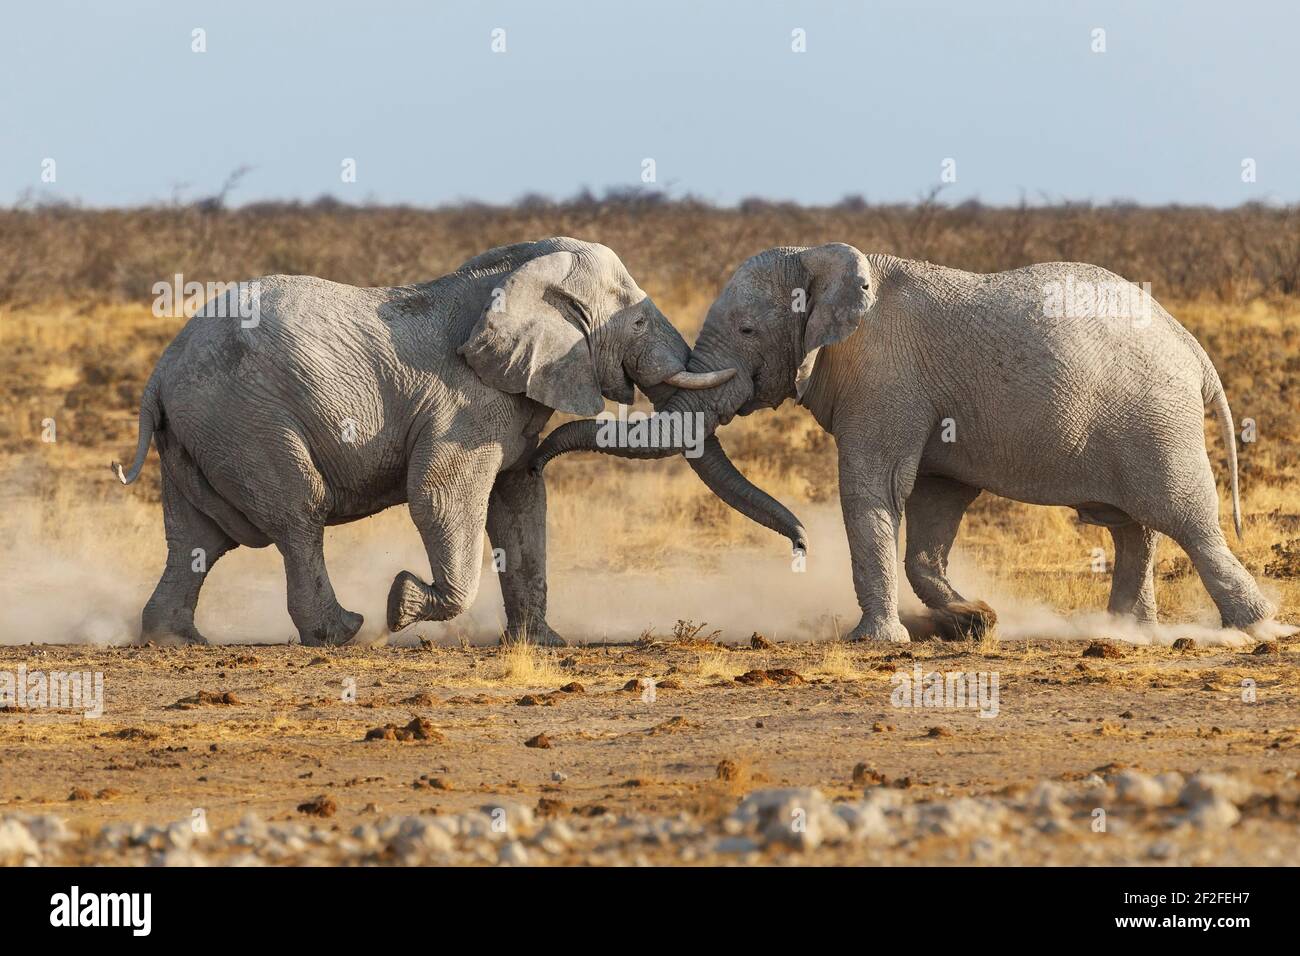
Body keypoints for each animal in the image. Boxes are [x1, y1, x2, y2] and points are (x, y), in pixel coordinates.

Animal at [111, 235, 733, 647]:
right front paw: (403, 604)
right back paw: (343, 632)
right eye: (638, 324)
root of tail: (159, 374)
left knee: (197, 537)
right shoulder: (463, 402)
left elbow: (520, 504)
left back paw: (176, 640)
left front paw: (542, 644)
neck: (521, 276)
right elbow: (440, 495)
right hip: (246, 421)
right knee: (297, 516)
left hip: (200, 433)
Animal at [535, 243, 1289, 642]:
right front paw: (974, 619)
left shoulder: (884, 381)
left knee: (1185, 519)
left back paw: (1258, 631)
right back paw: (1126, 632)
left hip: (1154, 418)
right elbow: (933, 502)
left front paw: (876, 641)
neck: (823, 263)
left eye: (748, 332)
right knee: (1134, 528)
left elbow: (872, 488)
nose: (799, 547)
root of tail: (1190, 344)